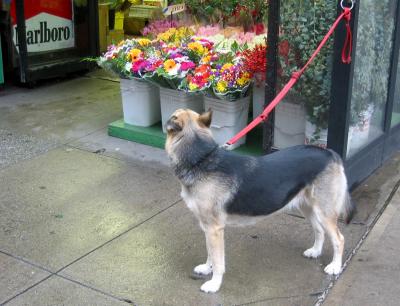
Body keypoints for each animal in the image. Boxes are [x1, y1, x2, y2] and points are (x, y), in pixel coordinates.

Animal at [164, 109, 354, 292]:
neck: (201, 159)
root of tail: (330, 153)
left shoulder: (214, 229)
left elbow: (218, 261)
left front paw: (214, 284)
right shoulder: (208, 228)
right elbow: (210, 253)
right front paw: (206, 268)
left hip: (324, 212)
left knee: (339, 239)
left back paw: (335, 266)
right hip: (308, 208)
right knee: (319, 230)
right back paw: (315, 251)